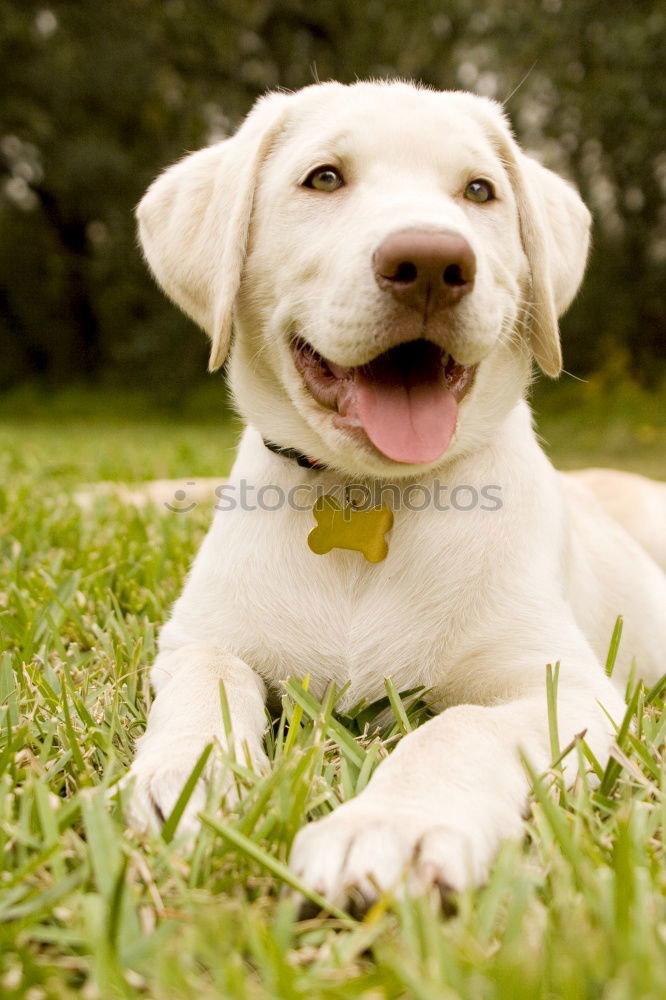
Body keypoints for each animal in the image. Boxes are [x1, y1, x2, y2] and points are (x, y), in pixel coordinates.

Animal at [126, 82, 664, 912]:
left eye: (480, 191)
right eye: (323, 178)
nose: (433, 262)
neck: (369, 491)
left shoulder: (568, 687)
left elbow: (460, 728)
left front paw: (389, 828)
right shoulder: (198, 638)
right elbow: (209, 682)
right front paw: (189, 774)